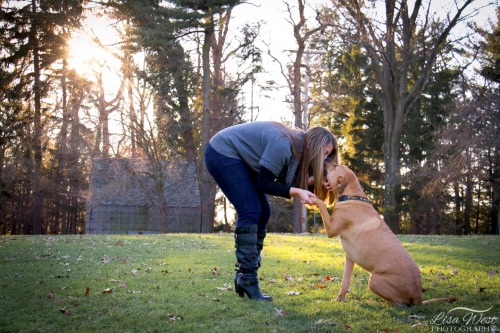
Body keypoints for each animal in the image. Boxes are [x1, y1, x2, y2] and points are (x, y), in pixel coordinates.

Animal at [310, 160, 456, 304]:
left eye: (335, 166)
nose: (327, 159)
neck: (353, 196)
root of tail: (418, 297)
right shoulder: (349, 258)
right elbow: (345, 282)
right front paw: (339, 299)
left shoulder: (331, 228)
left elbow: (321, 204)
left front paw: (313, 198)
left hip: (374, 281)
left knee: (397, 303)